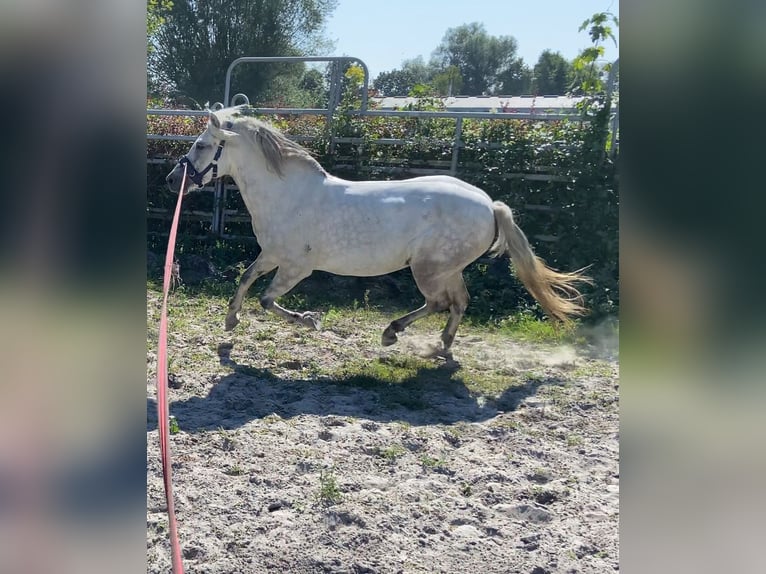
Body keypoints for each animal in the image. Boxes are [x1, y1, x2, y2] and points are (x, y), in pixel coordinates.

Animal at [165, 106, 591, 353]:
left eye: (202, 145)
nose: (172, 180)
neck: (289, 194)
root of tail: (490, 205)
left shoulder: (296, 267)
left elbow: (267, 300)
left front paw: (309, 320)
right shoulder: (272, 255)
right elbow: (245, 278)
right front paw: (231, 321)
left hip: (428, 269)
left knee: (441, 303)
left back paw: (393, 333)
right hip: (446, 268)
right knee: (459, 302)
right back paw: (441, 347)